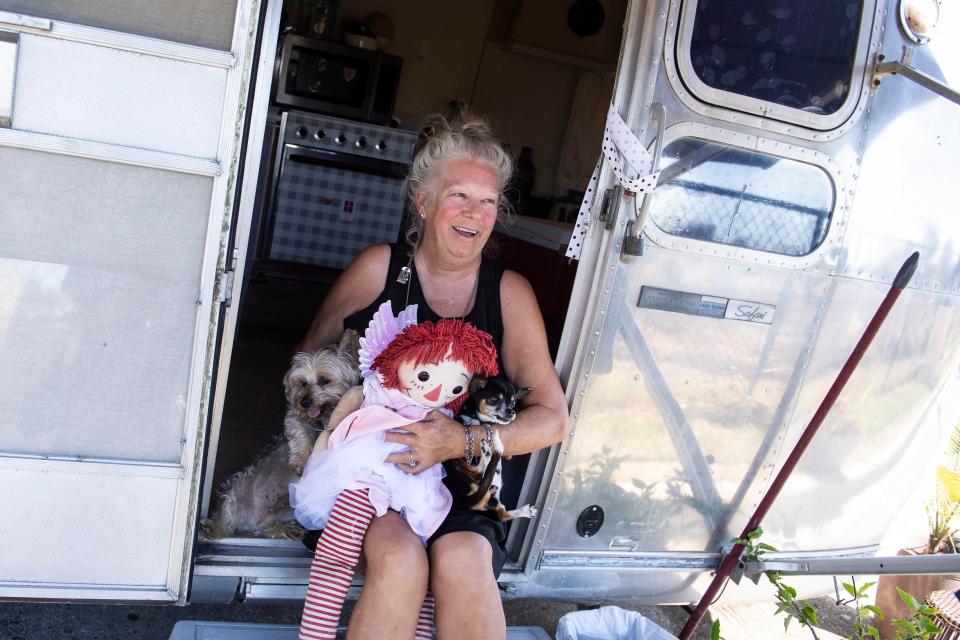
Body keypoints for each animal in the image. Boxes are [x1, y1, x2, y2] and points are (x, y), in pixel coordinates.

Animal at [200, 330, 360, 540]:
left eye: (325, 380)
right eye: (302, 382)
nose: (304, 402)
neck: (322, 419)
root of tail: (249, 521)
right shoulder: (295, 418)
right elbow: (300, 432)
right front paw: (302, 463)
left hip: (287, 513)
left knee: (265, 528)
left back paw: (286, 530)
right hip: (237, 486)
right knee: (225, 521)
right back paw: (211, 528)